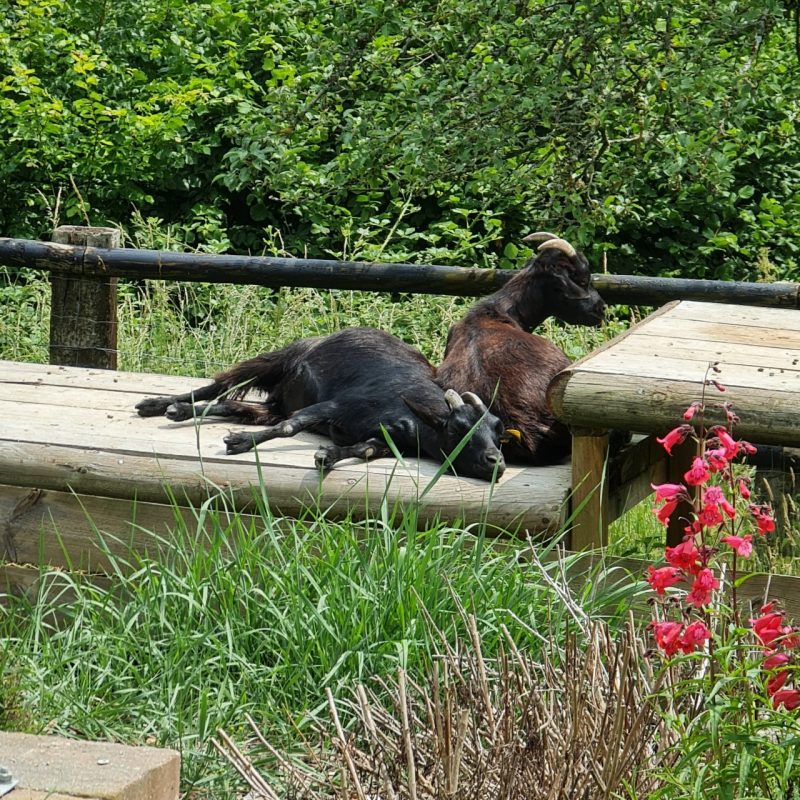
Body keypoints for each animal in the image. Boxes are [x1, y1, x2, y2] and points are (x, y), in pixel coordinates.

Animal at [134, 326, 504, 478]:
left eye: (498, 432)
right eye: (457, 428)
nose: (496, 463)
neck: (408, 414)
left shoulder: (380, 439)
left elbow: (364, 449)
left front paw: (328, 456)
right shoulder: (336, 406)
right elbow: (291, 426)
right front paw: (240, 444)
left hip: (272, 404)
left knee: (233, 406)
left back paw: (182, 411)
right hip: (272, 362)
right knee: (219, 386)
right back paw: (162, 405)